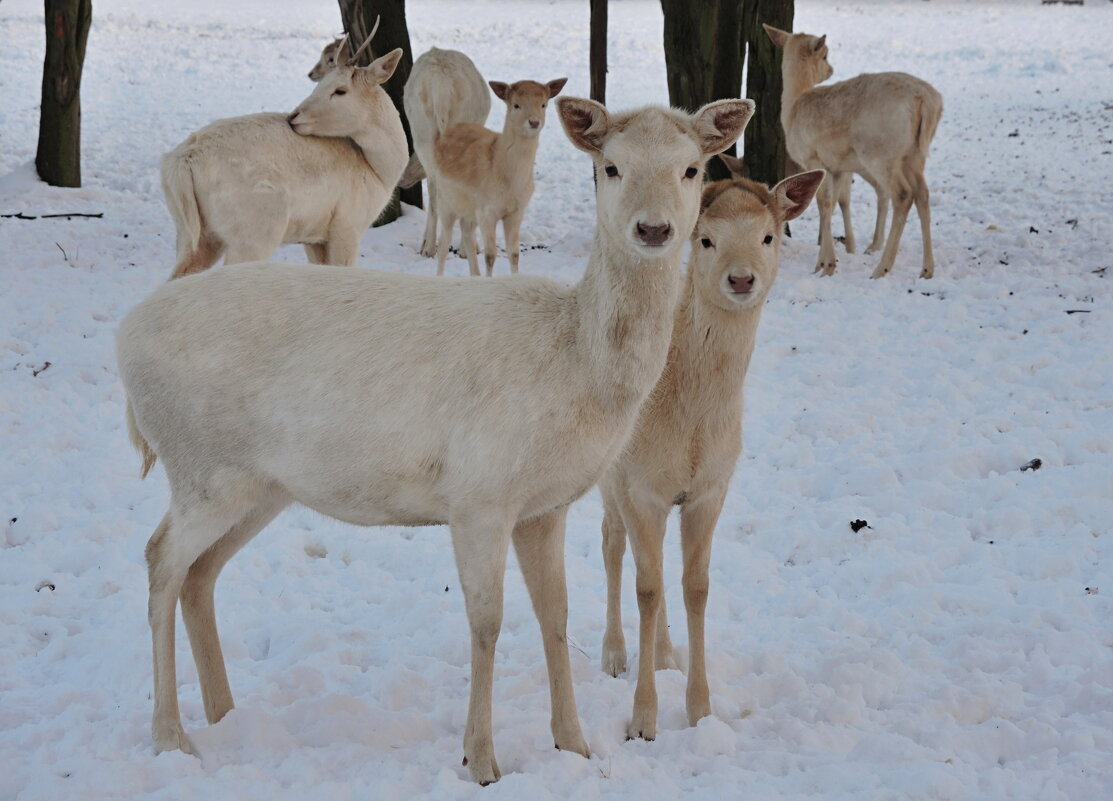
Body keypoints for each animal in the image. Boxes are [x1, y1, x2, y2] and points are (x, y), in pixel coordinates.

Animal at [117, 94, 752, 783]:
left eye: (691, 169)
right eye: (609, 166)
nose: (654, 229)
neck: (576, 366)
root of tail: (124, 342)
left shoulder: (546, 505)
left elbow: (553, 614)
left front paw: (575, 744)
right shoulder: (479, 493)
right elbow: (487, 621)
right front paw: (481, 759)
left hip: (258, 486)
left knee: (200, 574)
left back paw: (225, 713)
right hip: (203, 467)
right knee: (160, 559)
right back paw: (170, 735)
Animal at [159, 31, 407, 278]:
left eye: (340, 90)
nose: (294, 116)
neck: (378, 172)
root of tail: (184, 161)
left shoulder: (315, 236)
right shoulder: (347, 225)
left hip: (192, 233)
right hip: (255, 231)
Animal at [770, 25, 943, 280]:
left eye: (825, 54)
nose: (831, 69)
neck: (792, 106)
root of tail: (926, 101)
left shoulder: (813, 157)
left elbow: (823, 203)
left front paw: (828, 265)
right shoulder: (836, 167)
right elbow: (831, 204)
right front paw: (821, 264)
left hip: (880, 152)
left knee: (902, 194)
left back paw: (881, 268)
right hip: (915, 154)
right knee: (923, 194)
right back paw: (927, 269)